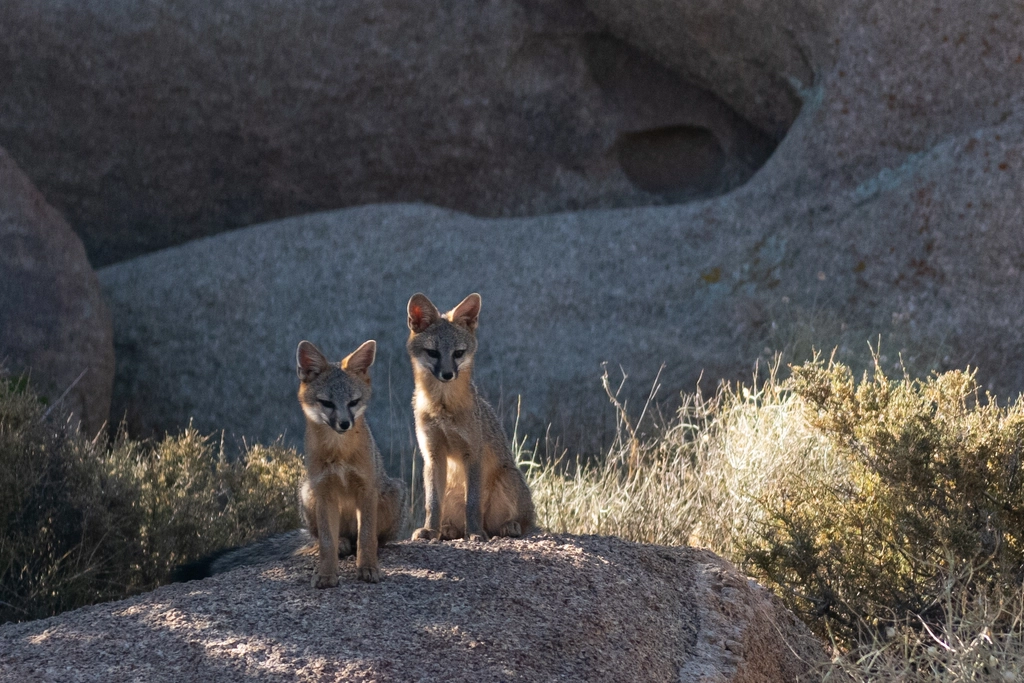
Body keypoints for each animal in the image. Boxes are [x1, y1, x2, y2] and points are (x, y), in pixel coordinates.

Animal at [296, 339, 406, 586]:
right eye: (327, 403)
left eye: (353, 402)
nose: (345, 423)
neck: (340, 453)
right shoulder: (324, 490)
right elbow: (327, 542)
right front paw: (326, 573)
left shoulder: (366, 489)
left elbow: (366, 538)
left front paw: (368, 568)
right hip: (308, 492)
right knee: (326, 538)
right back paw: (342, 543)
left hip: (393, 494)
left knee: (373, 538)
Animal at [406, 292, 535, 542]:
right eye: (433, 353)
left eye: (458, 353)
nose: (447, 374)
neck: (442, 408)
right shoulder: (433, 455)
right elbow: (432, 503)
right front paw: (430, 530)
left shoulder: (473, 453)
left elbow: (473, 504)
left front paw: (474, 532)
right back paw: (448, 530)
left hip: (508, 478)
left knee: (516, 525)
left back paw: (507, 526)